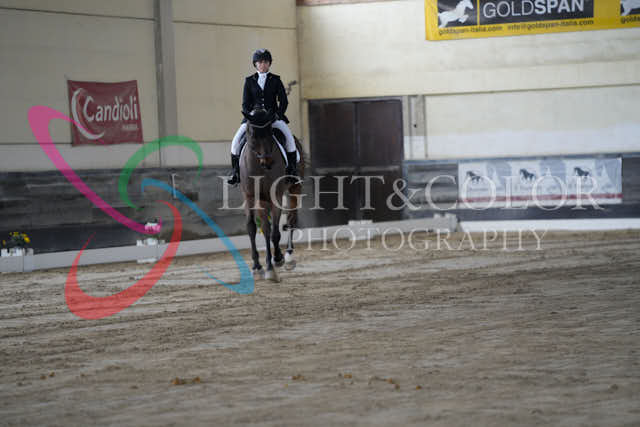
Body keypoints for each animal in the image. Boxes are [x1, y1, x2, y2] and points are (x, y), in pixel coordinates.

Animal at [239, 107, 305, 282]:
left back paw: (288, 257)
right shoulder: (252, 197)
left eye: (270, 133)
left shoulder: (275, 196)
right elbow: (257, 228)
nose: (267, 162)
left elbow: (274, 232)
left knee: (291, 219)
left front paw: (276, 260)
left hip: (294, 188)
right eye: (253, 135)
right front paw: (260, 267)